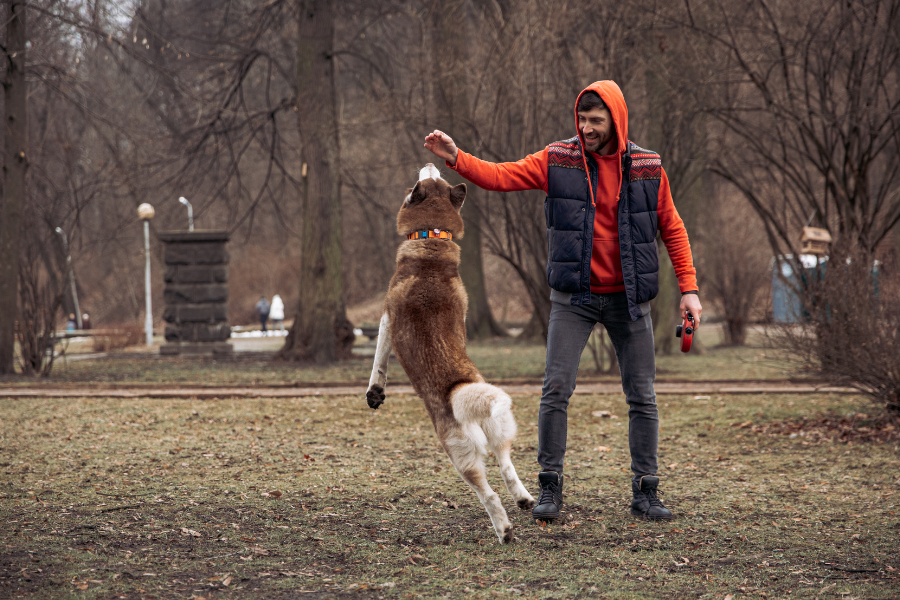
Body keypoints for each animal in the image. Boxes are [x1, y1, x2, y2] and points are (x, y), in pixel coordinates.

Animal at [366, 164, 536, 544]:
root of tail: (460, 388)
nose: (433, 163)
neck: (432, 239)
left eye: (430, 181)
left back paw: (503, 529)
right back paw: (523, 499)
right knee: (506, 466)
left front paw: (375, 392)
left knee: (488, 493)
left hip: (460, 457)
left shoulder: (385, 320)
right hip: (499, 430)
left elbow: (379, 360)